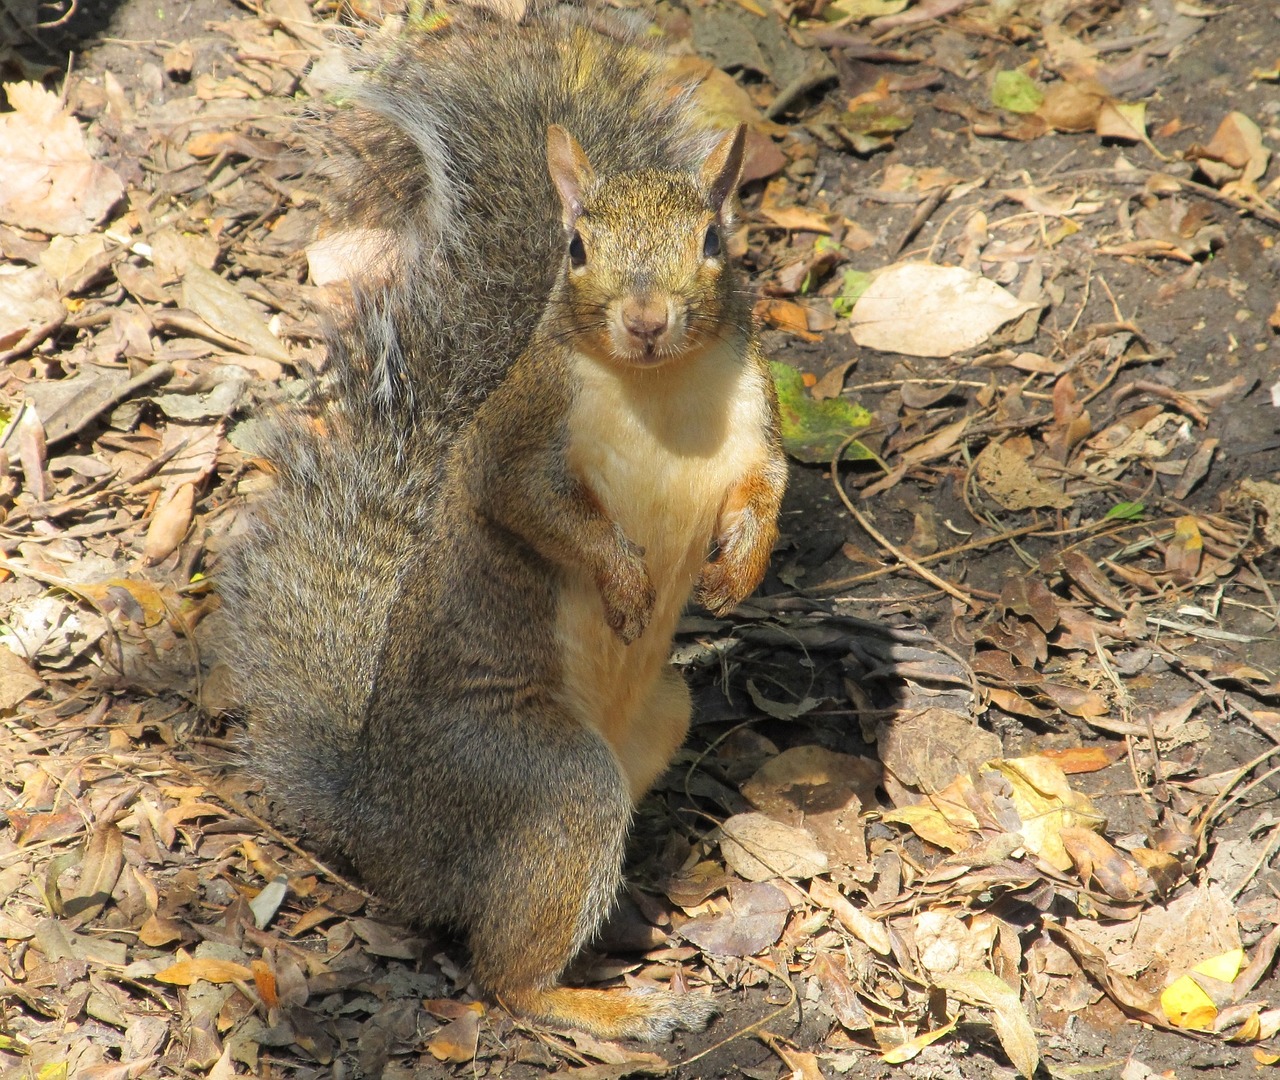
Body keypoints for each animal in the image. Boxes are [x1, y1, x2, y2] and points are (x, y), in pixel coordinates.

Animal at [215, 2, 783, 1044]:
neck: (660, 392)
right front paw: (626, 580)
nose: (647, 319)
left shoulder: (755, 424)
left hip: (658, 718)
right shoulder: (515, 444)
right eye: (578, 249)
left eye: (713, 242)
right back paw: (607, 1007)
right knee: (502, 975)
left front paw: (738, 571)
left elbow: (767, 489)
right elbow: (533, 511)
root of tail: (383, 825)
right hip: (543, 783)